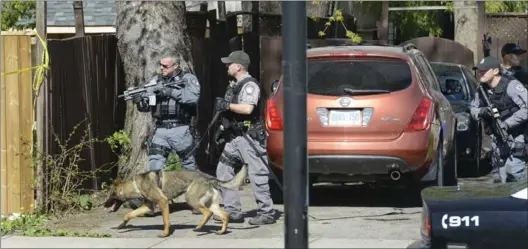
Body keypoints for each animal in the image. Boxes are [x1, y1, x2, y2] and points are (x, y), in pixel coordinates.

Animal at [105, 165, 250, 237]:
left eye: (111, 195)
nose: (104, 204)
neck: (136, 184)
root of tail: (209, 177)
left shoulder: (163, 202)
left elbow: (166, 220)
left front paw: (165, 234)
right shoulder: (148, 207)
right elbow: (129, 214)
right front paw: (121, 225)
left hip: (191, 199)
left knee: (207, 213)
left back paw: (199, 228)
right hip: (211, 204)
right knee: (225, 214)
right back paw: (222, 231)